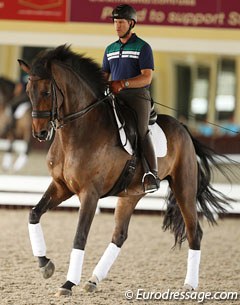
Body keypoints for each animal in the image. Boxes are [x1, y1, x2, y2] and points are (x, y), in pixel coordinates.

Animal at [18, 45, 232, 296]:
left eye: (46, 92)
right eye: (29, 91)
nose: (40, 133)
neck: (78, 130)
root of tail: (183, 128)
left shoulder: (89, 193)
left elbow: (80, 237)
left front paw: (68, 283)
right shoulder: (61, 187)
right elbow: (34, 214)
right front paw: (45, 265)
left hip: (184, 188)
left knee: (193, 231)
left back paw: (190, 285)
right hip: (131, 194)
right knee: (119, 234)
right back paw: (93, 280)